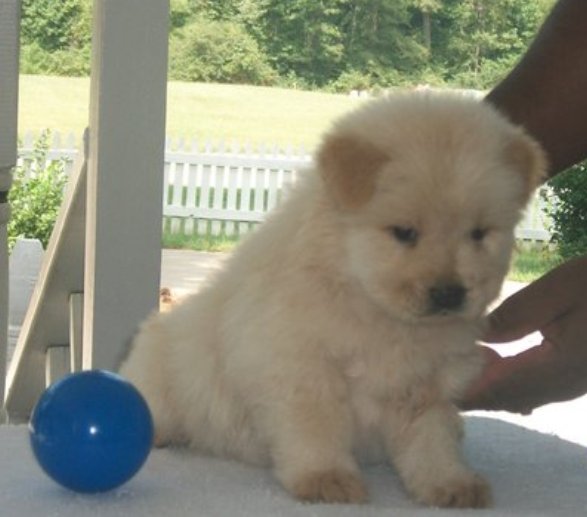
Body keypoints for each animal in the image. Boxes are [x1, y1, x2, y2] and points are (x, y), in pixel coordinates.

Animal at [119, 92, 548, 508]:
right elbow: (317, 428)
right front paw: (328, 480)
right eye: (404, 232)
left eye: (479, 233)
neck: (373, 309)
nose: (449, 293)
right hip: (161, 377)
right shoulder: (302, 368)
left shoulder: (428, 384)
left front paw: (451, 484)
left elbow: (432, 442)